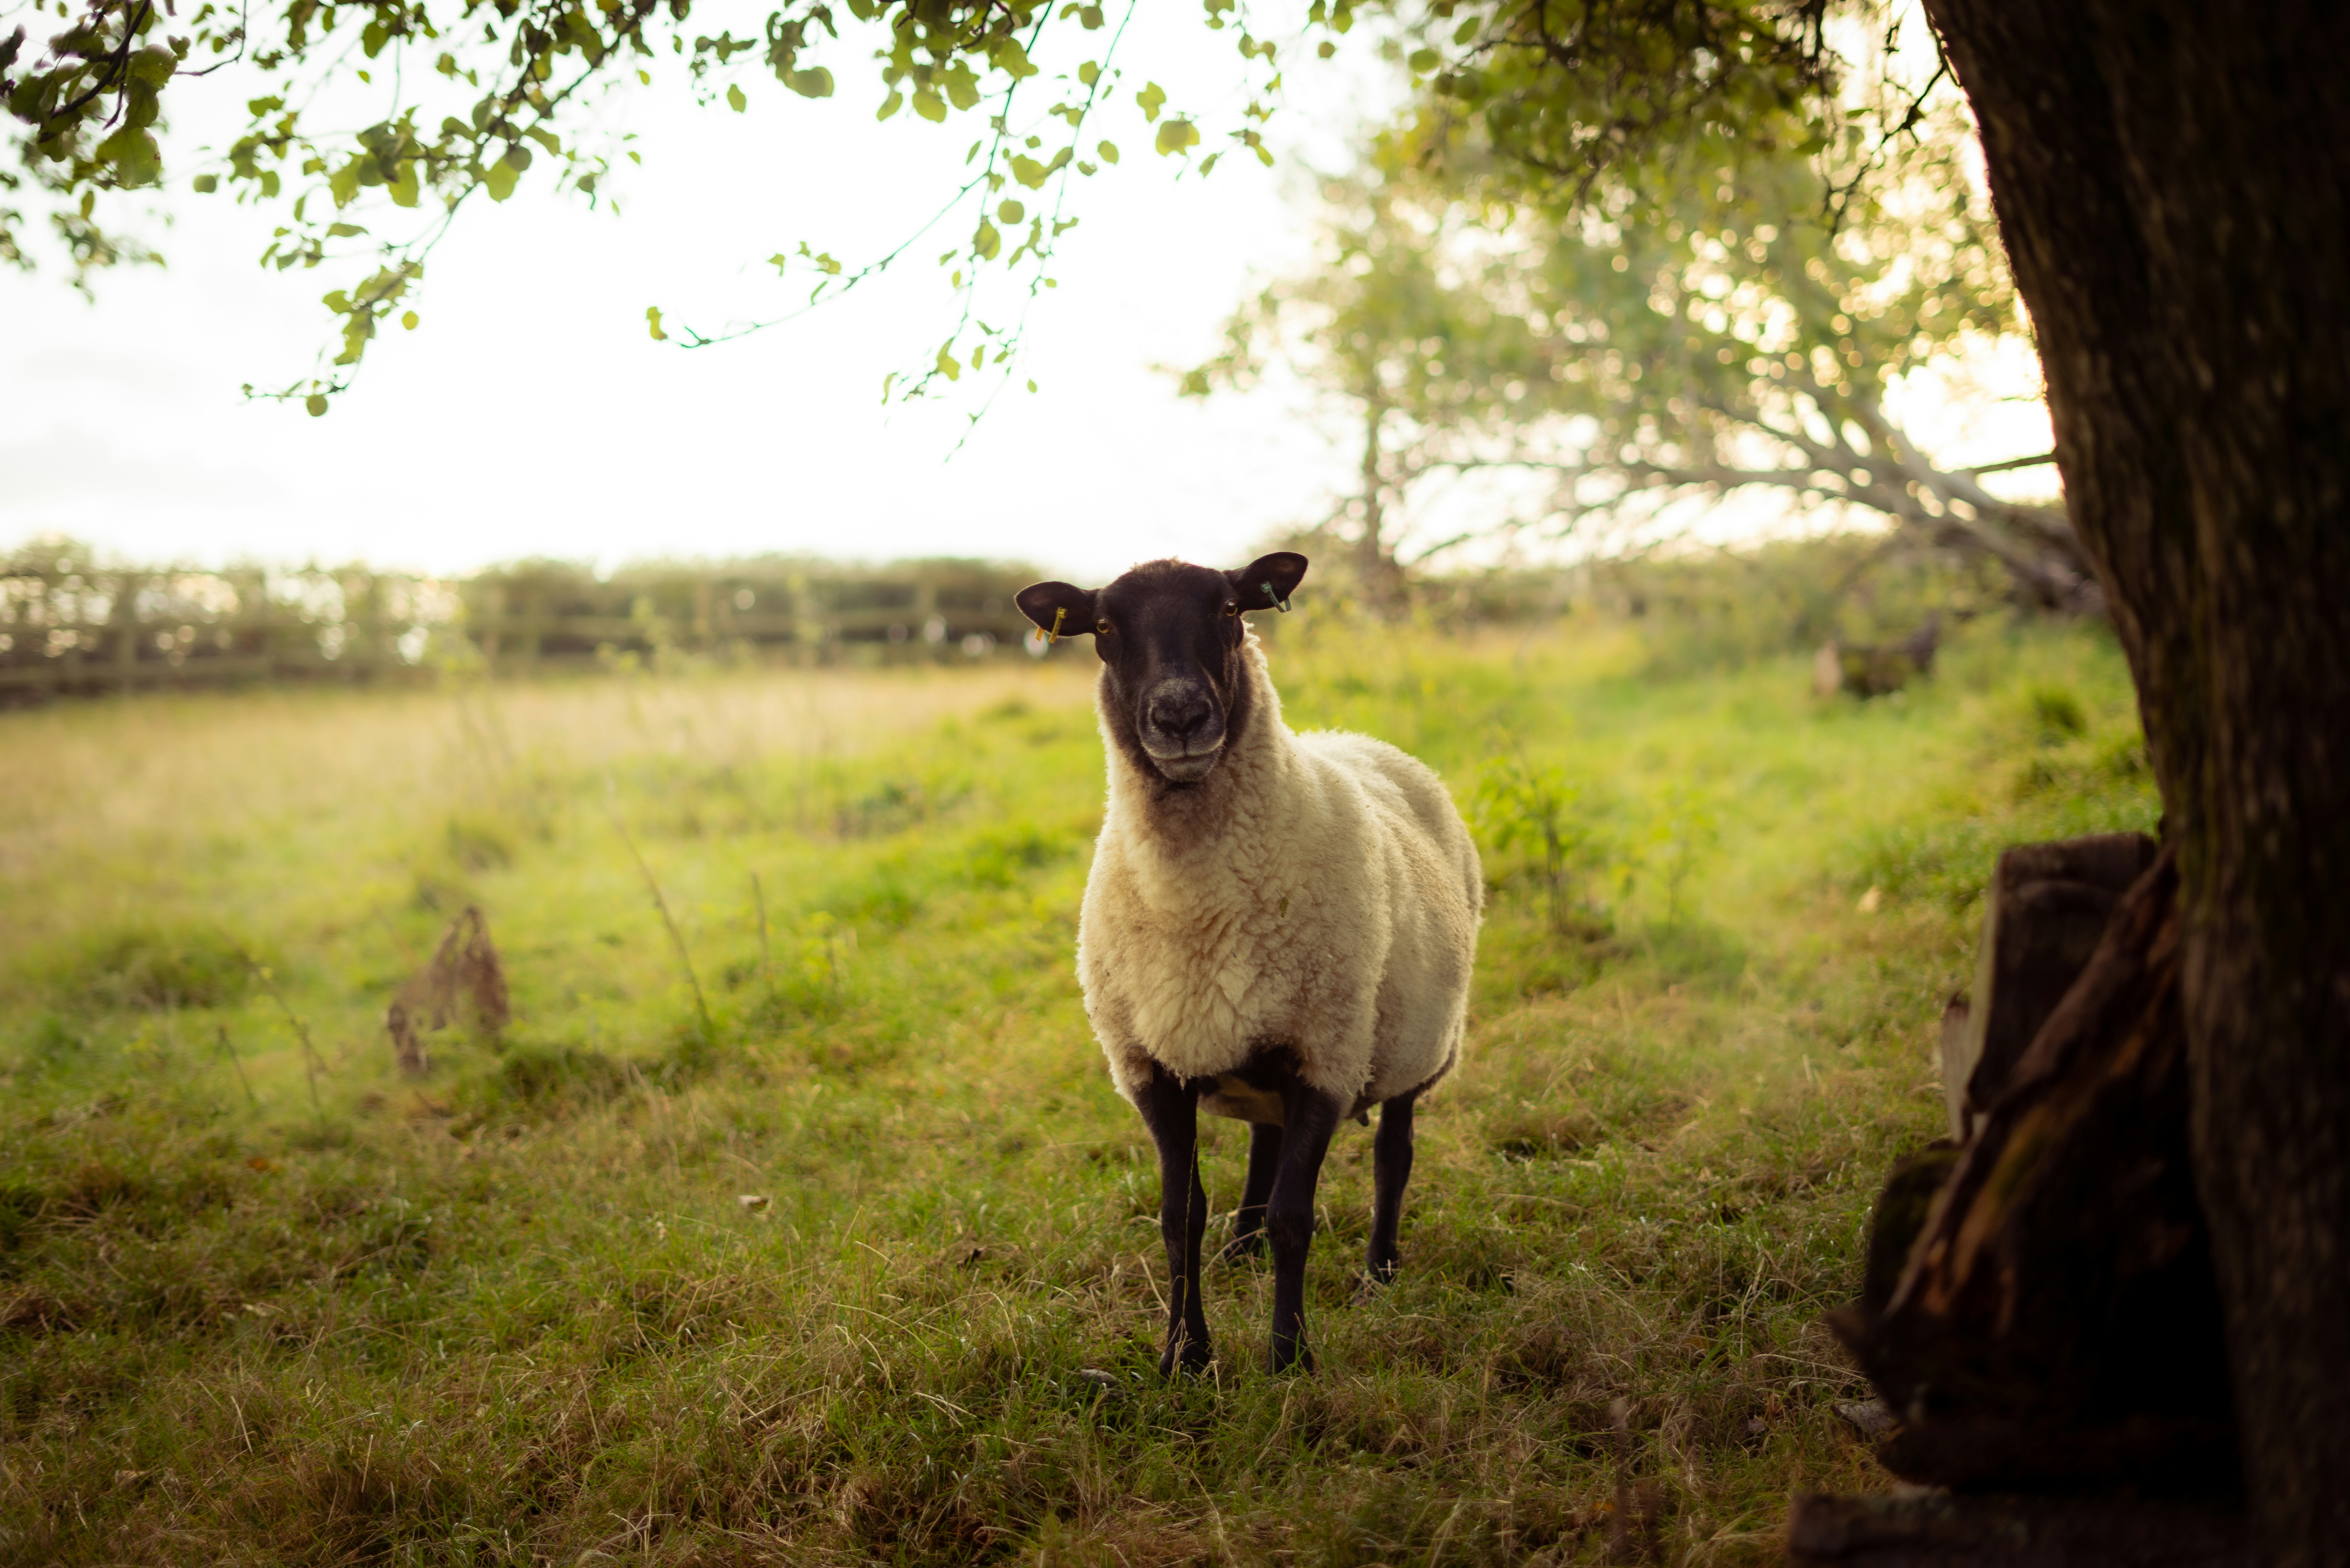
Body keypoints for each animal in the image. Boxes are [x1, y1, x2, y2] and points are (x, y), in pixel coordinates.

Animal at [1016, 552, 1482, 1374]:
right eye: (1102, 626)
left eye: (1230, 610)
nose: (1178, 717)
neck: (1195, 912)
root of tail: (1353, 737)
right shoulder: (1150, 1062)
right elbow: (1179, 1216)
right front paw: (1184, 1356)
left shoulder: (1326, 1055)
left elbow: (1298, 1215)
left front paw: (1288, 1356)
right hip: (1263, 1041)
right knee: (1264, 1139)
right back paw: (1242, 1247)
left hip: (1408, 1041)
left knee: (1393, 1153)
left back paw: (1377, 1271)